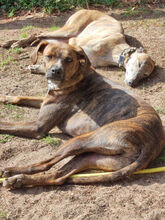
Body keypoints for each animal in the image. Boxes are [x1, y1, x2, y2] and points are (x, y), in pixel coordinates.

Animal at [0, 41, 164, 189]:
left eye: (69, 59)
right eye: (49, 56)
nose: (55, 71)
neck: (76, 77)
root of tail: (151, 143)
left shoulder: (38, 127)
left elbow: (6, 124)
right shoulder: (45, 101)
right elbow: (20, 97)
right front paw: (4, 97)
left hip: (83, 140)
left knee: (45, 164)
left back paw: (12, 172)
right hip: (93, 157)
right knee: (58, 176)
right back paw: (19, 180)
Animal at [1, 9, 155, 87]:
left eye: (145, 75)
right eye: (138, 64)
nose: (132, 83)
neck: (115, 49)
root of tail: (85, 8)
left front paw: (37, 67)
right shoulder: (75, 43)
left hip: (64, 36)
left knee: (40, 38)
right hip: (69, 31)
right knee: (38, 33)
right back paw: (14, 43)